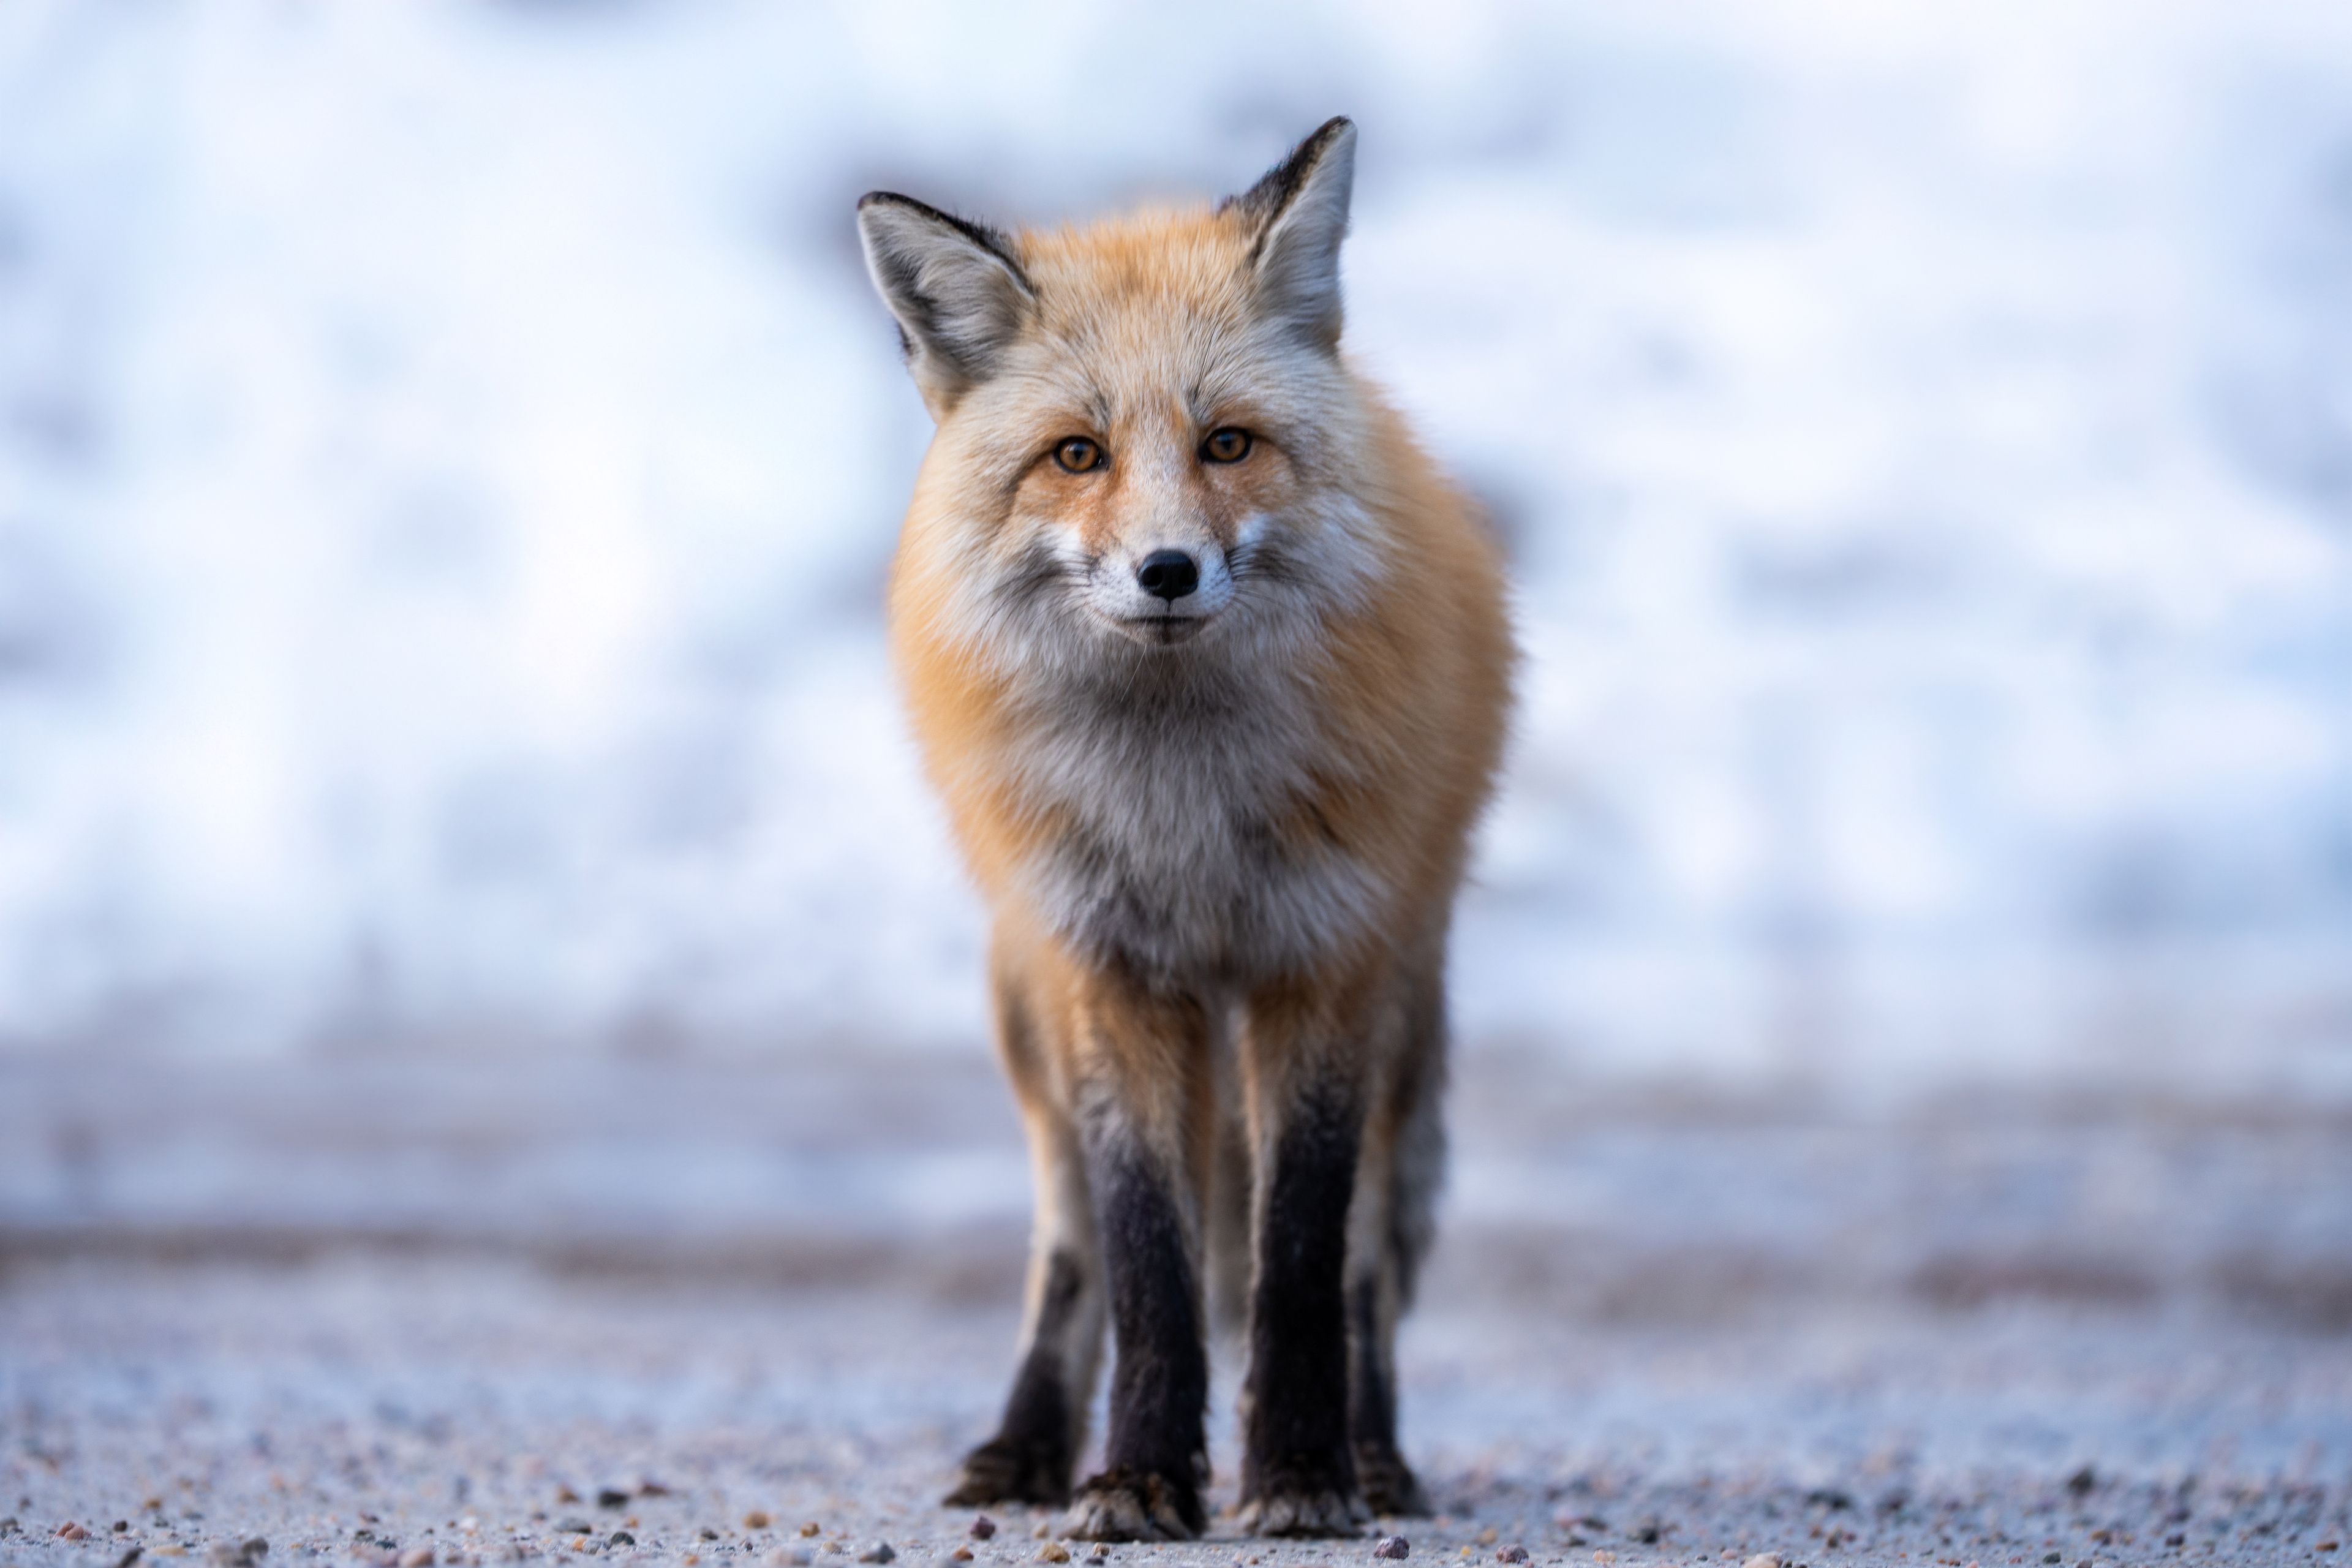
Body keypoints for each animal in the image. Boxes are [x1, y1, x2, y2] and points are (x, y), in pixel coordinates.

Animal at [854, 118, 1514, 1541]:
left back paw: (1376, 1453)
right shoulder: (1111, 971)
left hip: (1401, 1011)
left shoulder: (1321, 964)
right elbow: (1148, 1257)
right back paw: (1024, 1449)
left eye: (1226, 445)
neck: (1185, 815)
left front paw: (1304, 1474)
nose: (1166, 571)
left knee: (1367, 1266)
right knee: (1067, 1251)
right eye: (1076, 455)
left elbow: (1301, 1260)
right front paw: (1142, 1476)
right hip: (1030, 1023)